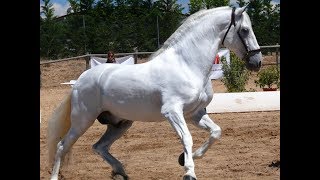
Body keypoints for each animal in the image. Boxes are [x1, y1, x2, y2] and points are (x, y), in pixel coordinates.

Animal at [47, 5, 262, 180]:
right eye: (244, 30)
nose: (257, 62)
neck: (186, 64)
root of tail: (80, 81)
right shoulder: (172, 112)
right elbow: (187, 138)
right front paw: (189, 172)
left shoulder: (194, 113)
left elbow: (216, 132)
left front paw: (185, 159)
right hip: (83, 120)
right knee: (62, 146)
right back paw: (56, 176)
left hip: (120, 123)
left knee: (99, 146)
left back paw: (120, 172)